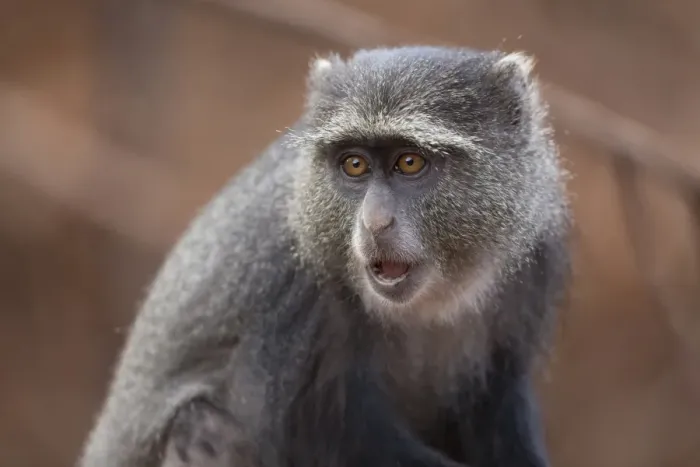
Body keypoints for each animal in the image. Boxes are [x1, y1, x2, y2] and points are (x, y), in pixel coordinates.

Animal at [76, 45, 570, 467]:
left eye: (409, 162)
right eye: (354, 165)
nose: (374, 223)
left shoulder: (535, 256)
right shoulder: (289, 286)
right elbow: (327, 438)